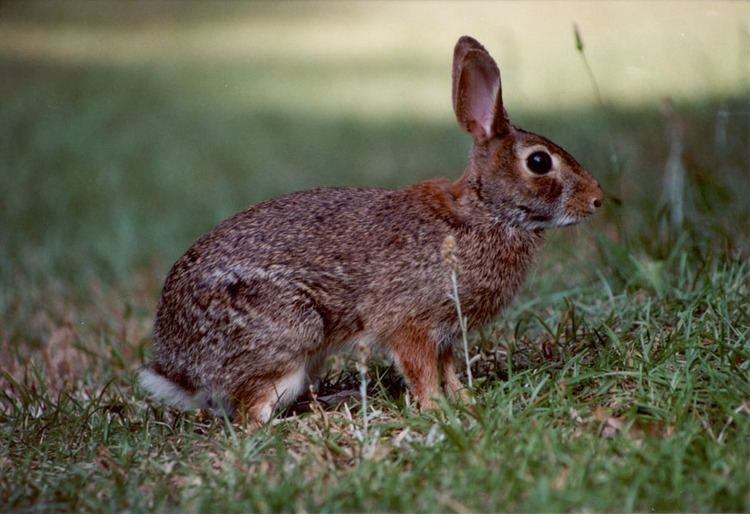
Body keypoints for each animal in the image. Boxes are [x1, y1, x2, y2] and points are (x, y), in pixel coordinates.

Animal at [138, 35, 604, 420]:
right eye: (539, 162)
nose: (597, 199)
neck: (482, 212)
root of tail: (180, 371)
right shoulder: (411, 323)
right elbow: (421, 369)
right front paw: (435, 408)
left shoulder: (446, 331)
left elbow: (447, 367)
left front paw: (464, 399)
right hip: (291, 333)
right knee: (249, 413)